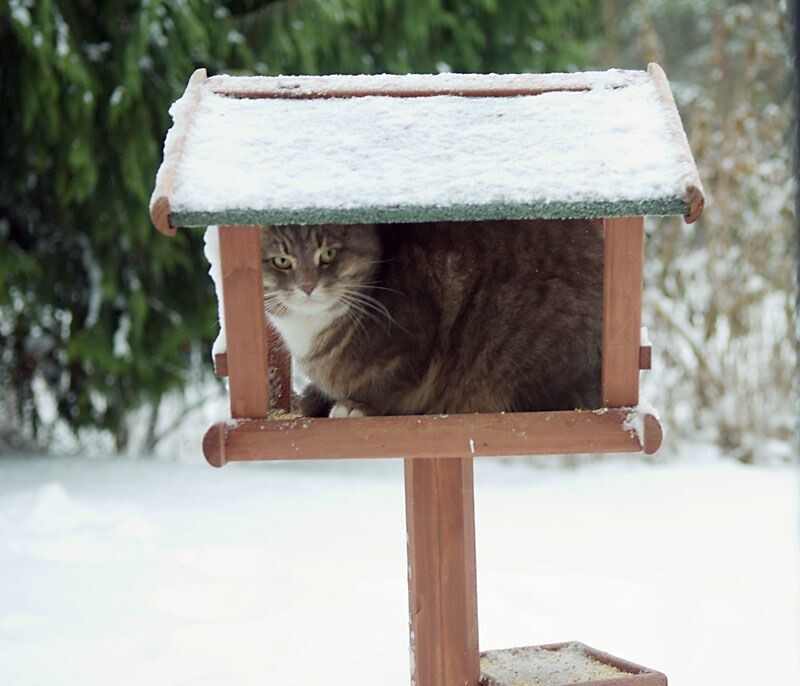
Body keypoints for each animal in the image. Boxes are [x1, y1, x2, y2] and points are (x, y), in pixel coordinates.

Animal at [260, 220, 604, 420]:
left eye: (329, 254)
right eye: (281, 262)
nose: (307, 286)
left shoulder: (415, 344)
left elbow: (389, 386)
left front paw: (355, 405)